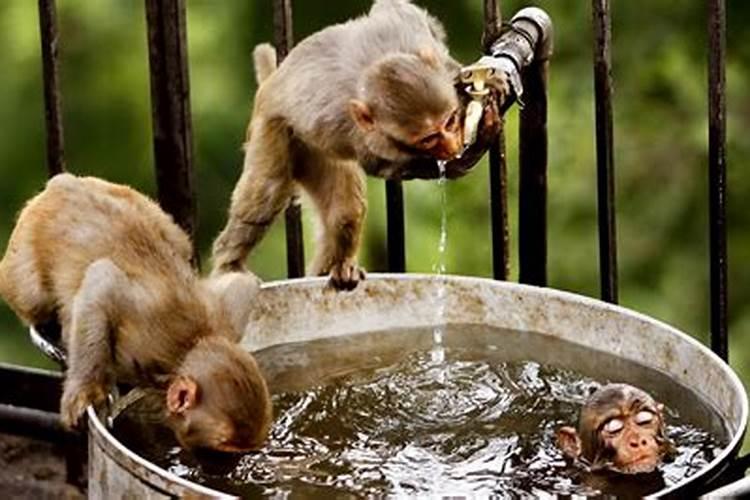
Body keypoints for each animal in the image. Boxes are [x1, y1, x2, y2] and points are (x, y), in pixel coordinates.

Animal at [0, 175, 274, 454]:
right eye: (228, 447)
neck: (187, 348)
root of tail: (63, 183)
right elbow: (102, 279)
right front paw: (85, 391)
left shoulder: (226, 318)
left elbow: (245, 283)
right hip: (24, 254)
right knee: (34, 298)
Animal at [213, 0, 512, 290]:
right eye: (429, 138)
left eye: (449, 122)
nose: (451, 145)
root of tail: (273, 81)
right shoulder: (367, 139)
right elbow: (389, 166)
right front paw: (473, 147)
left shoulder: (411, 34)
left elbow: (399, 10)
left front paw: (472, 82)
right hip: (275, 127)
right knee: (267, 191)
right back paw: (229, 266)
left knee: (345, 212)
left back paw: (334, 268)